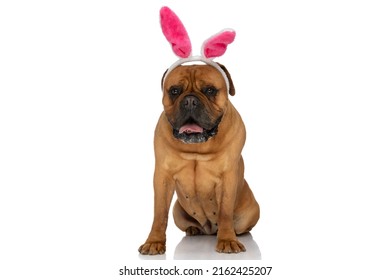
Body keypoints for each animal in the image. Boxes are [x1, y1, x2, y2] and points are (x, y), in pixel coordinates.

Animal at [139, 62, 260, 255]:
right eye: (174, 91)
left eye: (210, 90)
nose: (190, 101)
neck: (197, 148)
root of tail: (209, 230)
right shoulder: (162, 177)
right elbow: (159, 213)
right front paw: (154, 242)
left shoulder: (228, 177)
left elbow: (225, 212)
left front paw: (228, 240)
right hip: (177, 211)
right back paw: (193, 229)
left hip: (252, 212)